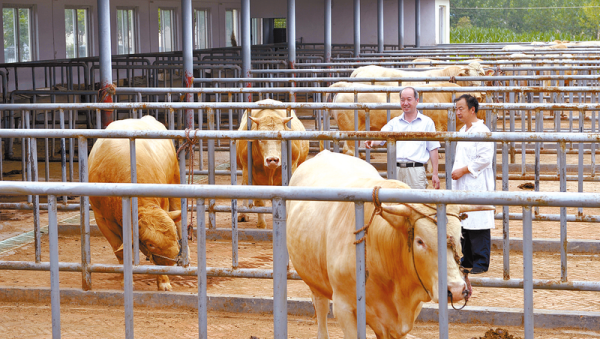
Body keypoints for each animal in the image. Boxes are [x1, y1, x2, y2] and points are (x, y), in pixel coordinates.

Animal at [88, 116, 184, 292]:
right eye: (151, 244)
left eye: (173, 235)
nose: (171, 261)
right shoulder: (101, 220)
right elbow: (121, 251)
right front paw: (125, 281)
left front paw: (164, 282)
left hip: (175, 178)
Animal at [236, 99, 310, 230]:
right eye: (260, 139)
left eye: (281, 138)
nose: (272, 160)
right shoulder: (250, 173)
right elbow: (259, 201)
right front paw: (261, 224)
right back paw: (243, 214)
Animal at [288, 152, 494, 339]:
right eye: (420, 241)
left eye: (460, 237)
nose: (457, 290)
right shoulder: (343, 308)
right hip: (315, 284)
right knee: (321, 310)